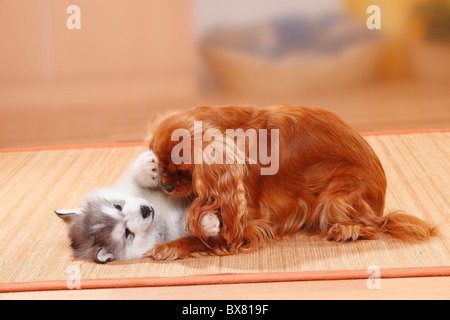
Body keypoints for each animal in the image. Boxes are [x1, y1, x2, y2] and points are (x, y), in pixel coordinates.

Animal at [55, 151, 221, 264]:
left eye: (117, 206)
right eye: (127, 233)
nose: (145, 210)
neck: (159, 214)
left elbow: (135, 176)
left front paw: (146, 166)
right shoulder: (174, 232)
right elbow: (186, 225)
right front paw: (207, 223)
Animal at [147, 105, 436, 260]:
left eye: (184, 170)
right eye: (159, 164)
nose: (166, 186)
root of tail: (381, 199)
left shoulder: (247, 227)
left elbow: (205, 239)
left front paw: (169, 247)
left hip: (334, 198)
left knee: (374, 226)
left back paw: (345, 230)